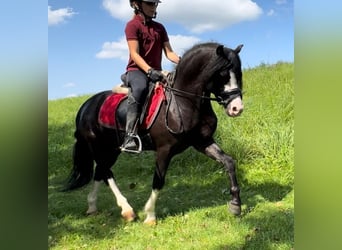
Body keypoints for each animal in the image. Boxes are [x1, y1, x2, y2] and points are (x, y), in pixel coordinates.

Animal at [64, 42, 244, 224]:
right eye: (222, 74)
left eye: (238, 73)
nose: (237, 108)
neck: (181, 103)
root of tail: (85, 106)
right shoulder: (164, 150)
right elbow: (158, 180)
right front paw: (150, 215)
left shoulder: (202, 142)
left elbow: (229, 162)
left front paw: (235, 205)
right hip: (98, 147)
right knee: (106, 172)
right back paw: (127, 210)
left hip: (112, 149)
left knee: (100, 172)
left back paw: (92, 206)